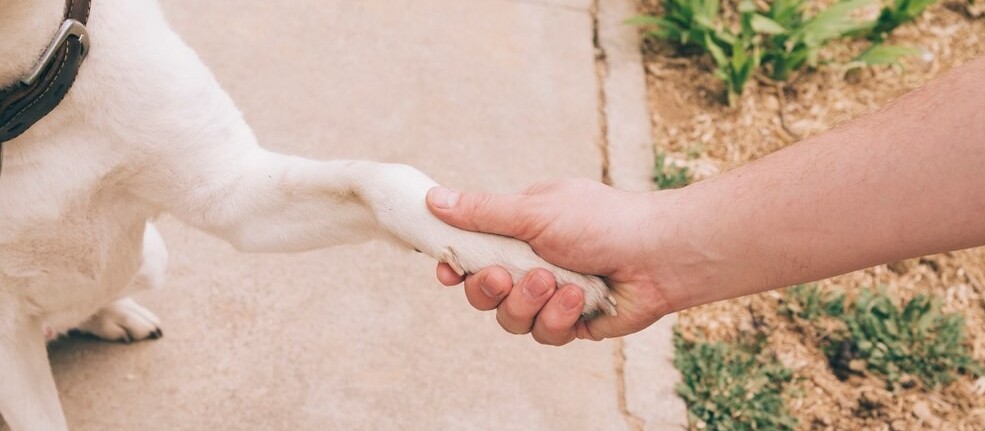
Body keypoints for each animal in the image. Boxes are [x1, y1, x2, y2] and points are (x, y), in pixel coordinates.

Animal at [0, 1, 616, 430]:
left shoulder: (231, 192)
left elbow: (380, 181)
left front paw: (525, 261)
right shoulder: (9, 347)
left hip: (153, 254)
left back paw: (114, 314)